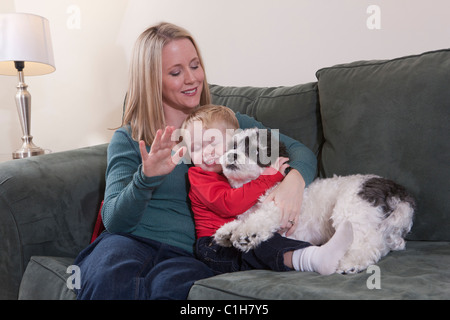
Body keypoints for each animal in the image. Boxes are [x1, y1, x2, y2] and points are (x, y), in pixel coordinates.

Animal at [214, 127, 414, 272]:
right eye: (233, 146)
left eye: (256, 151)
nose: (232, 155)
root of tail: (397, 192)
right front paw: (228, 231)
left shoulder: (281, 208)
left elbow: (264, 216)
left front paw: (247, 232)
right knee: (381, 244)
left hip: (351, 211)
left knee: (367, 245)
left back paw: (351, 263)